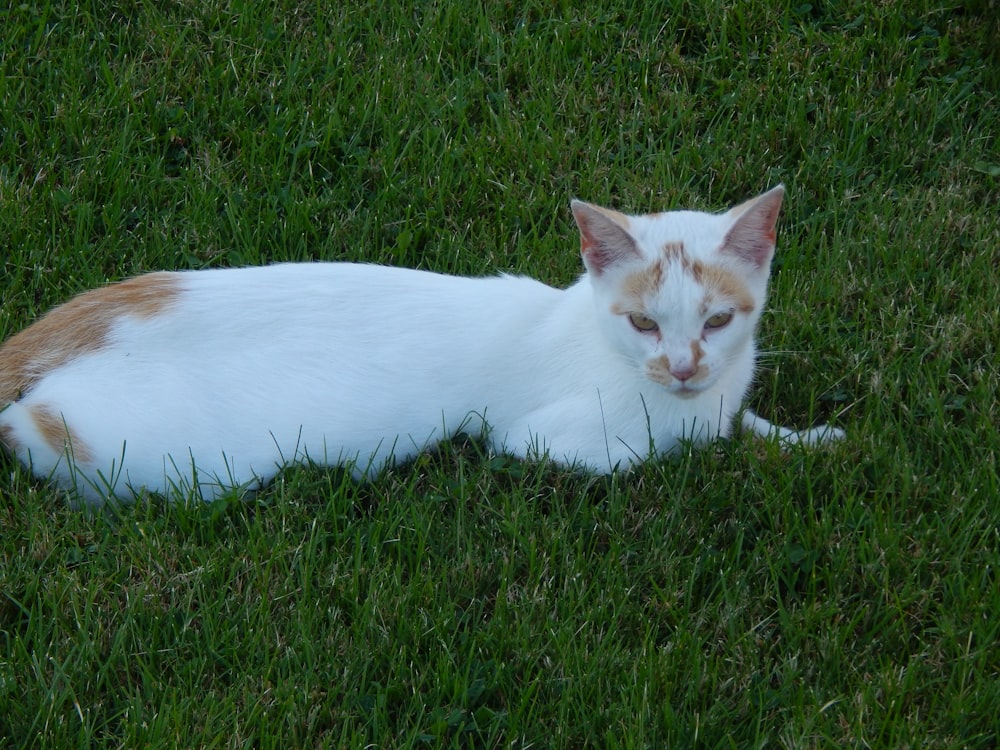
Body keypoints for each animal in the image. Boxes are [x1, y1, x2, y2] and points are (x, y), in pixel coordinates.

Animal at [0, 185, 844, 508]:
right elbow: (676, 454)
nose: (683, 366)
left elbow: (742, 425)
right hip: (170, 463)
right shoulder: (545, 440)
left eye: (717, 321)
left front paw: (809, 439)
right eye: (643, 324)